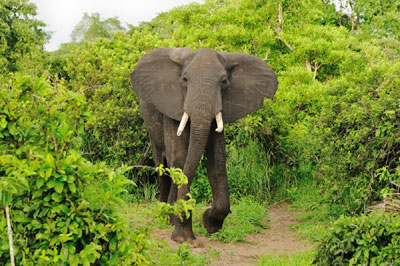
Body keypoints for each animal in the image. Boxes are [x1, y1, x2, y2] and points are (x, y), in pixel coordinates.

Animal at [130, 47, 276, 243]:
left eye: (224, 82)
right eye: (185, 79)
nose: (183, 215)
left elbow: (217, 162)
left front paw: (209, 224)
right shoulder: (172, 107)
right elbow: (180, 159)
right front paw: (182, 238)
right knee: (163, 167)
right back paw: (164, 216)